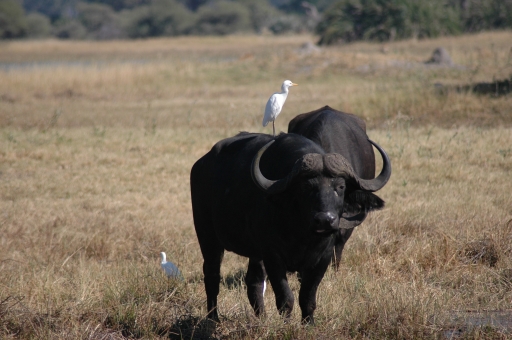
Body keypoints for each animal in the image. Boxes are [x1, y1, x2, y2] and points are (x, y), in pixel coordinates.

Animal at [190, 130, 390, 324]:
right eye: (306, 187)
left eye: (340, 187)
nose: (325, 220)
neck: (303, 235)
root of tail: (201, 165)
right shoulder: (273, 257)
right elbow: (285, 298)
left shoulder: (323, 259)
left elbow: (307, 298)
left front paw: (308, 324)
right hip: (207, 236)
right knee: (212, 275)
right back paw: (213, 318)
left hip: (255, 252)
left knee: (254, 281)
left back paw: (261, 318)